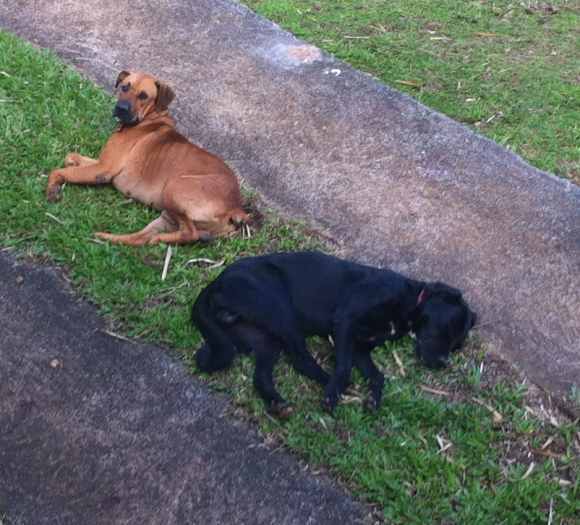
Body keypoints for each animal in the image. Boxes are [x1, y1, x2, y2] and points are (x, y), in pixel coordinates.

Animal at [47, 69, 249, 246]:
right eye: (124, 87)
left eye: (143, 96)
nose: (121, 108)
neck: (148, 118)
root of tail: (235, 208)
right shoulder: (102, 164)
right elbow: (70, 156)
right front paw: (70, 163)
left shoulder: (103, 169)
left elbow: (56, 171)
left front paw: (52, 189)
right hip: (167, 216)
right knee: (141, 238)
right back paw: (109, 237)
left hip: (173, 188)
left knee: (189, 233)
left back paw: (158, 239)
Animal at [193, 252, 474, 416]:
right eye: (448, 328)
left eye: (457, 345)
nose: (443, 363)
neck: (410, 300)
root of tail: (216, 282)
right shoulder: (345, 321)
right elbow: (344, 367)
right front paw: (332, 394)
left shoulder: (361, 347)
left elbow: (378, 375)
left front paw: (373, 400)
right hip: (280, 310)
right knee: (300, 359)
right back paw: (330, 384)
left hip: (265, 340)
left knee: (261, 376)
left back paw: (278, 404)